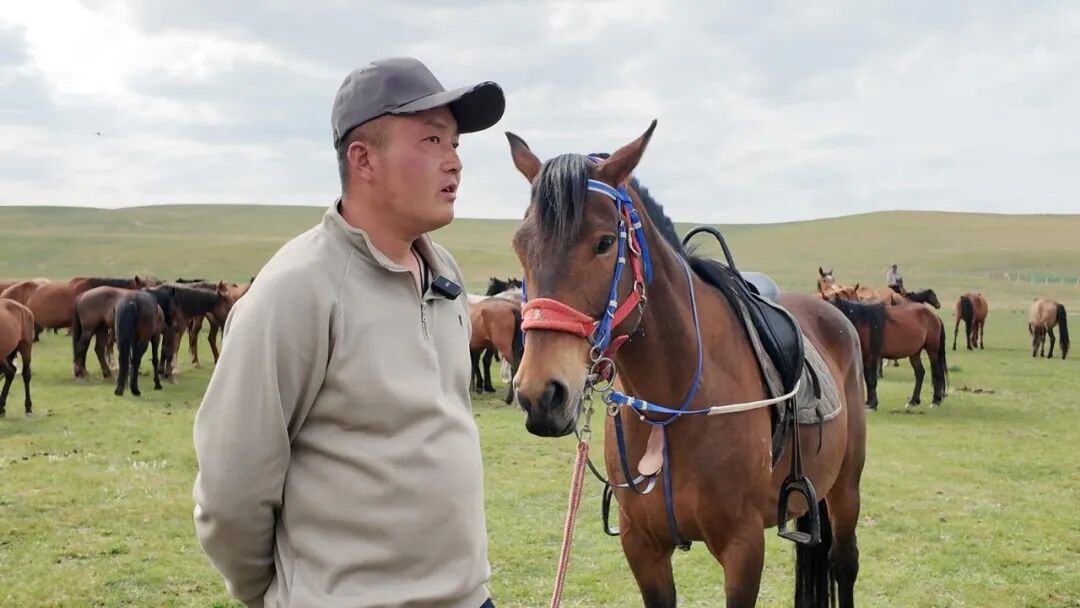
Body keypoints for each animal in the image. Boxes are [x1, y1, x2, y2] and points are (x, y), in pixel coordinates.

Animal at [505, 123, 866, 608]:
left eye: (604, 243)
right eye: (520, 246)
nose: (541, 393)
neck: (671, 405)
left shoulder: (743, 546)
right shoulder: (642, 546)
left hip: (845, 487)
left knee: (843, 564)